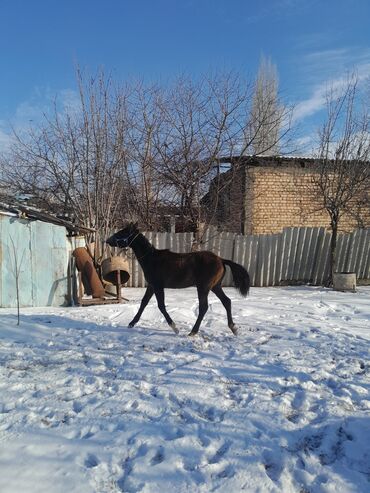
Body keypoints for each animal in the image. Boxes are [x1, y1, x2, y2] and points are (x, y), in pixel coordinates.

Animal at [107, 222, 251, 334]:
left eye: (122, 232)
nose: (107, 240)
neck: (151, 259)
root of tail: (221, 259)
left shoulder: (158, 286)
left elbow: (161, 306)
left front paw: (174, 328)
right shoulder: (152, 286)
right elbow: (144, 303)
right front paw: (131, 323)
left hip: (203, 287)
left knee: (204, 307)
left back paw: (193, 331)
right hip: (215, 286)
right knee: (227, 301)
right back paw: (233, 328)